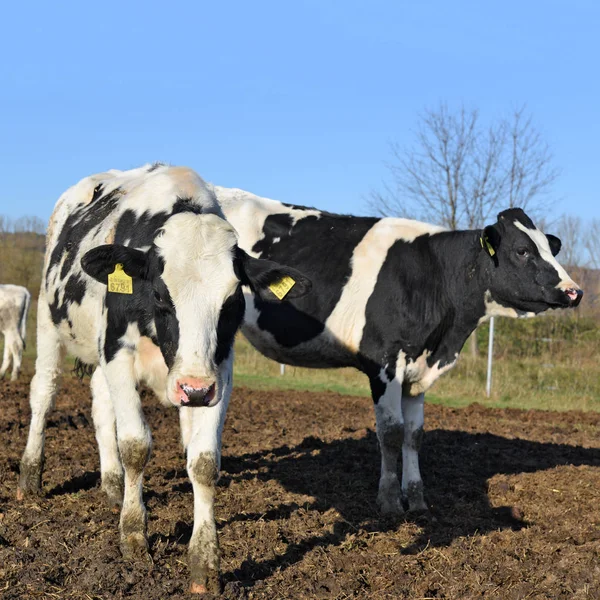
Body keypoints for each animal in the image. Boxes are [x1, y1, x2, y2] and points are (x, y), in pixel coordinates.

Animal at [17, 165, 312, 596]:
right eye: (159, 294)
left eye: (233, 301)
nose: (193, 389)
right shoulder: (118, 351)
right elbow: (136, 446)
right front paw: (134, 537)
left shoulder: (219, 370)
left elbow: (203, 461)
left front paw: (204, 562)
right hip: (48, 319)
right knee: (44, 392)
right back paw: (31, 475)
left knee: (101, 407)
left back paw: (112, 485)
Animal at [217, 188, 584, 516]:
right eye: (522, 251)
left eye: (549, 248)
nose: (574, 291)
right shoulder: (384, 362)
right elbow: (391, 432)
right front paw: (391, 502)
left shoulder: (417, 370)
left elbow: (413, 434)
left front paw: (417, 500)